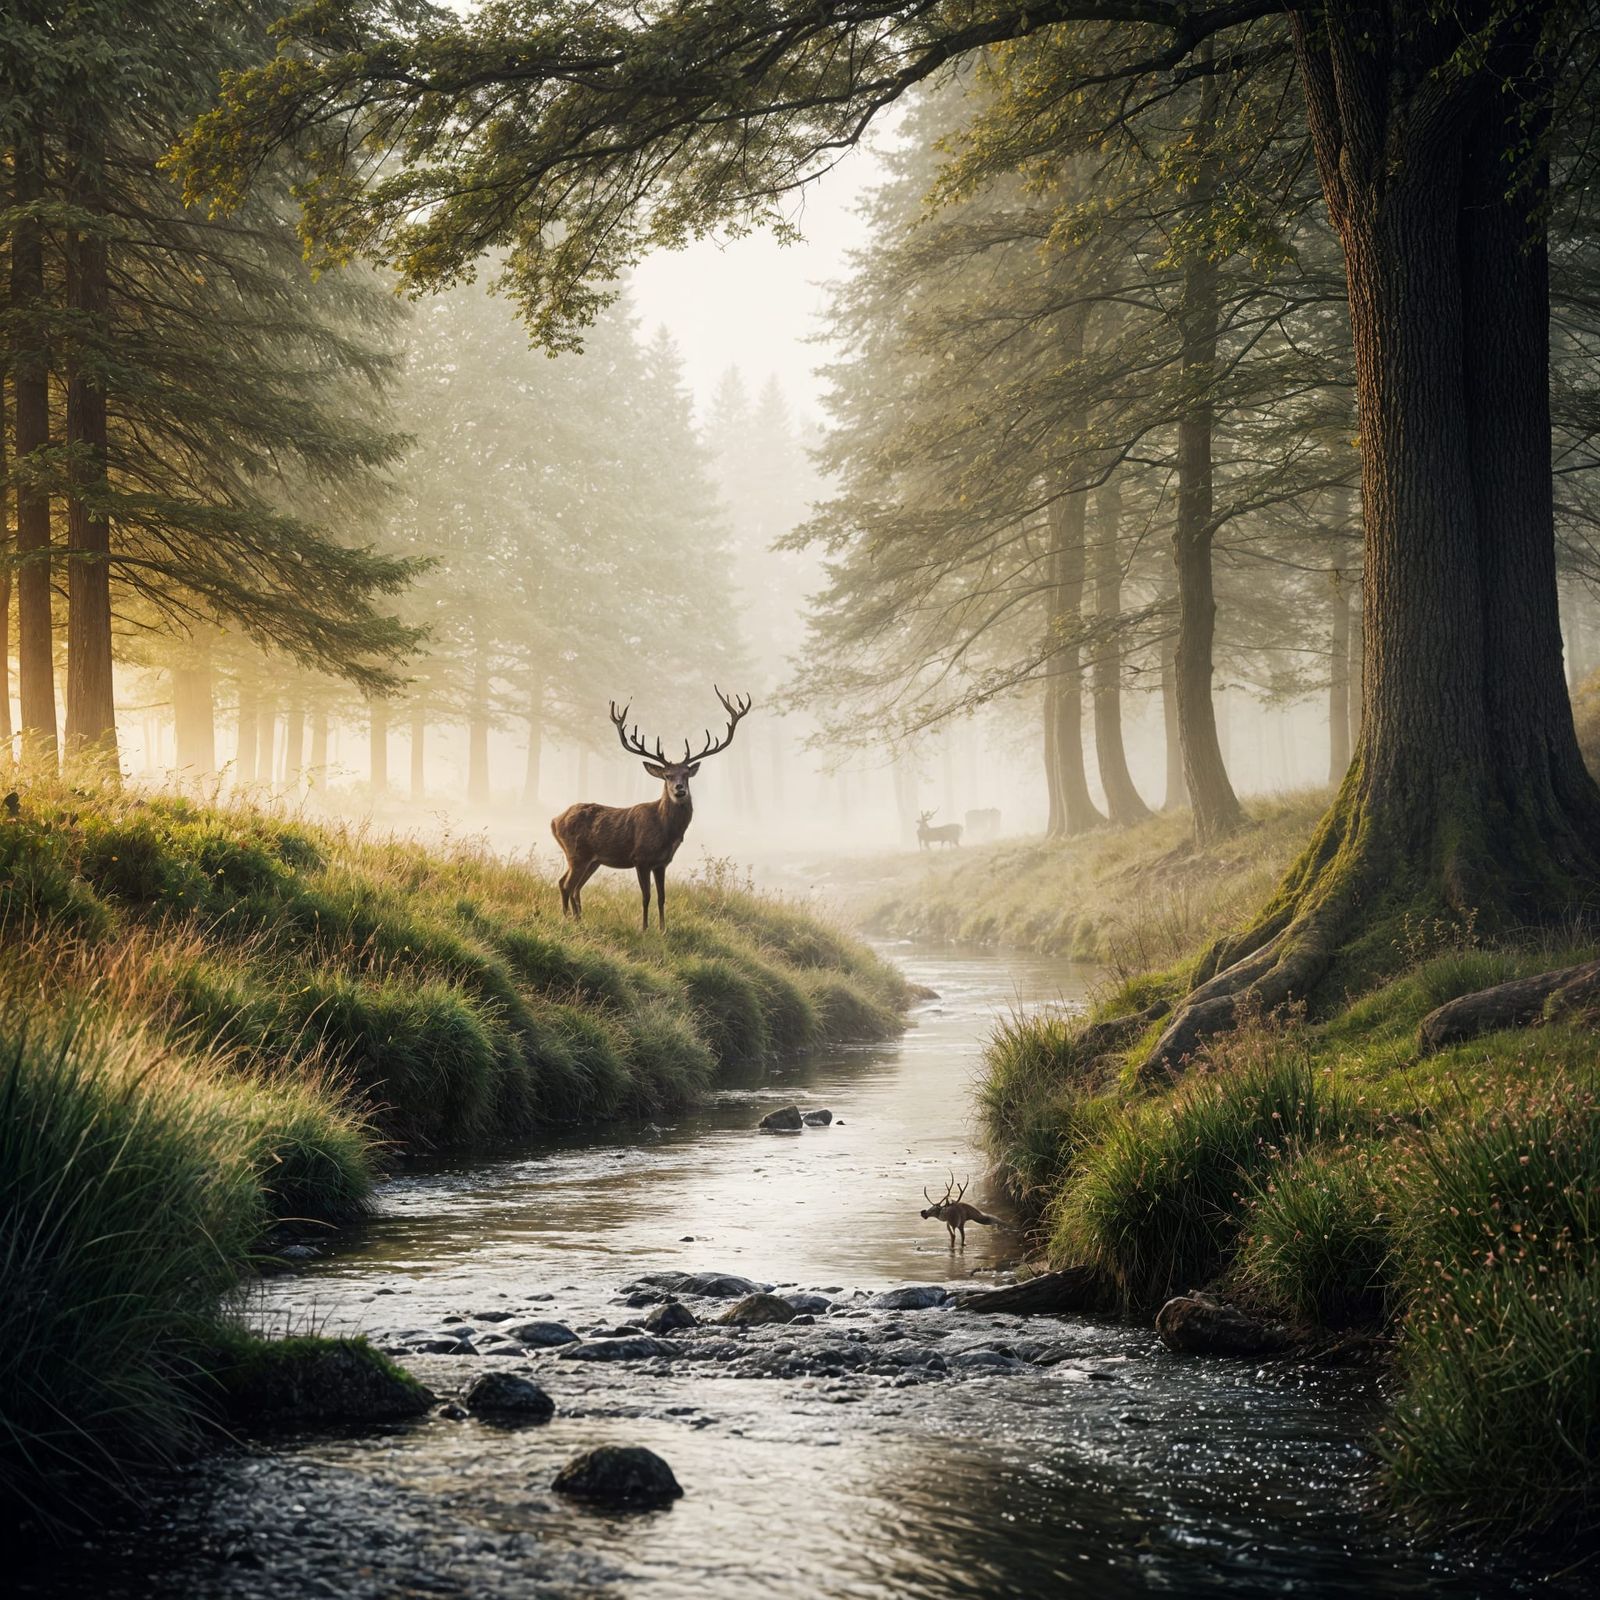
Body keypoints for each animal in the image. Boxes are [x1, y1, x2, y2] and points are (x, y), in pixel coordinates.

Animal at [551, 687, 752, 931]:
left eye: (686, 774)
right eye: (667, 775)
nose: (679, 789)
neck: (666, 833)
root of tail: (554, 820)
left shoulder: (662, 862)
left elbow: (662, 897)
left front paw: (663, 929)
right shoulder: (641, 858)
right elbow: (646, 896)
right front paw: (644, 928)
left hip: (593, 859)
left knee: (575, 887)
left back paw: (579, 919)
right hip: (577, 852)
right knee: (565, 884)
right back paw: (566, 920)